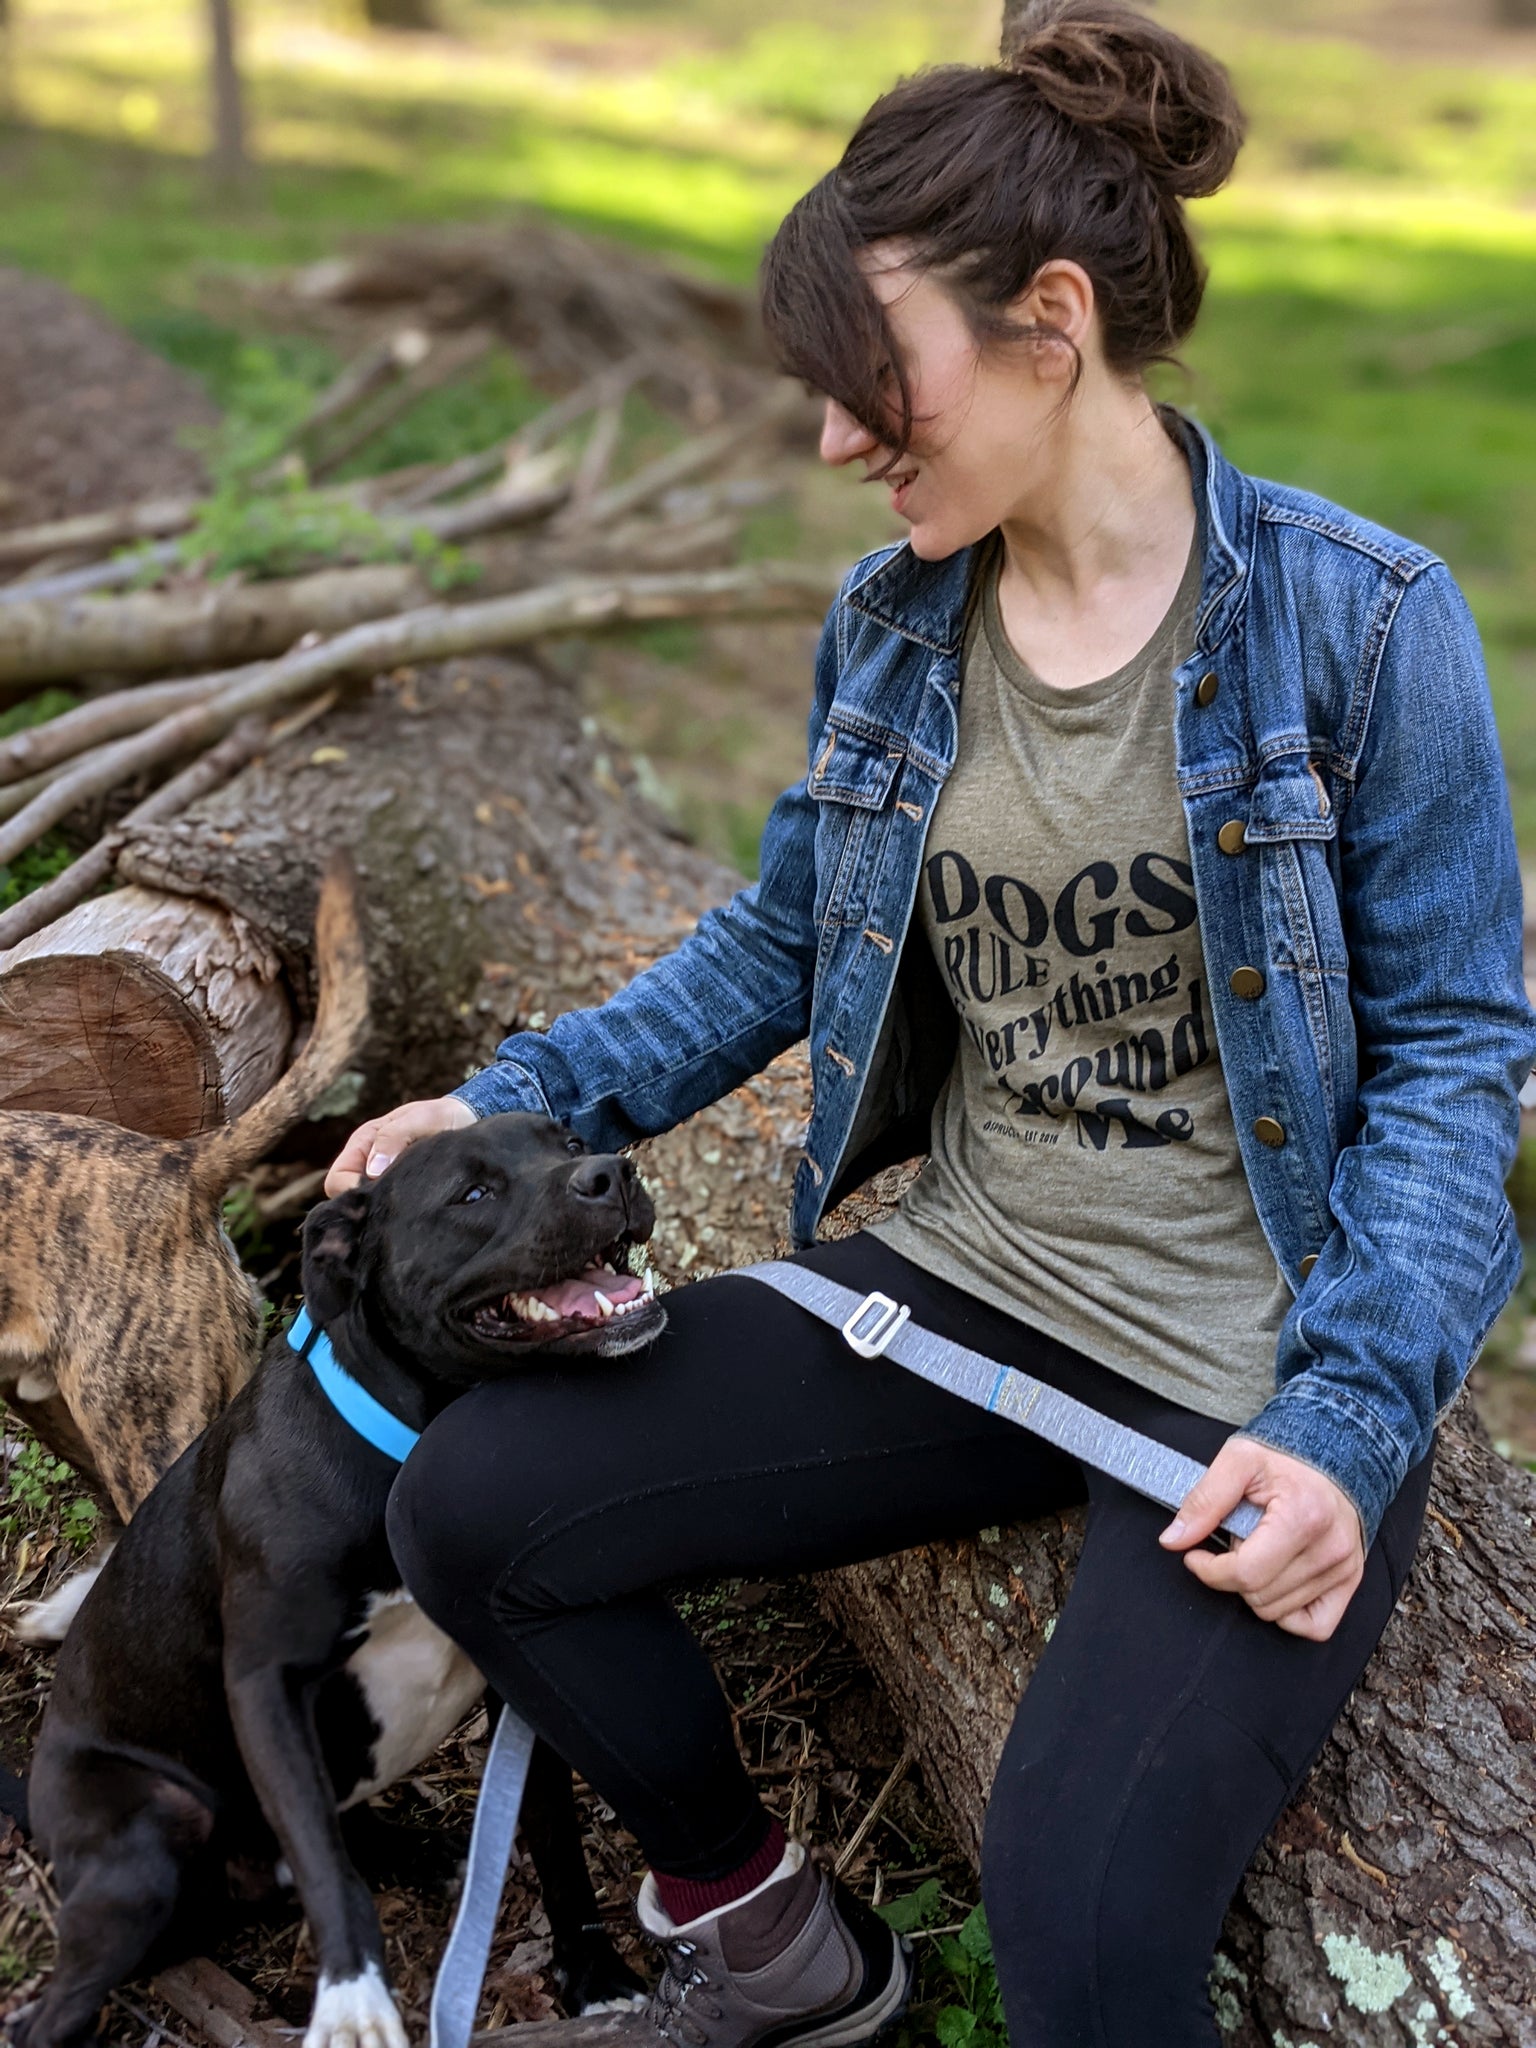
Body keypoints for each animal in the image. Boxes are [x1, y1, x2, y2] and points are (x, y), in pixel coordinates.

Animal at [15, 1114, 667, 2048]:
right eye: (472, 1193)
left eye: (568, 1139)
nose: (611, 1172)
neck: (407, 1451)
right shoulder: (266, 1684)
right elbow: (328, 1867)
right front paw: (354, 2001)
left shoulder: (518, 1681)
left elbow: (556, 1842)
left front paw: (595, 1977)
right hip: (143, 1849)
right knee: (53, 2010)